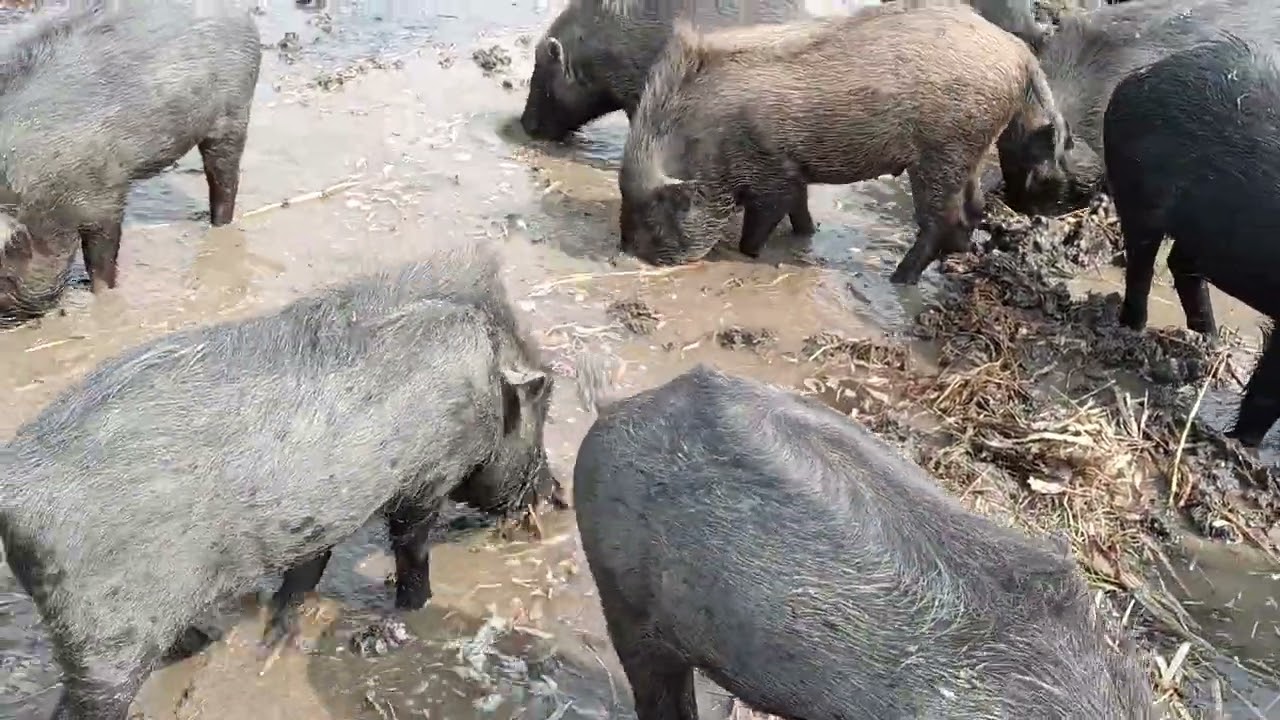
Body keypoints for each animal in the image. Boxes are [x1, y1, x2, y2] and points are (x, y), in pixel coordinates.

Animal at [0, 1, 262, 322]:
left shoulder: (105, 192)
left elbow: (102, 257)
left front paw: (102, 295)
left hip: (233, 114)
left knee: (224, 178)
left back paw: (218, 224)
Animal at [0, 241, 557, 720]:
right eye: (541, 403)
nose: (555, 494)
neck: (484, 377)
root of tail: (14, 486)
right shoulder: (425, 481)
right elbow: (410, 549)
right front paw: (417, 606)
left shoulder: (317, 516)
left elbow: (308, 570)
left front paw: (276, 638)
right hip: (106, 640)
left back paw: (206, 639)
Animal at [618, 5, 1070, 284]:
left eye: (655, 213)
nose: (624, 252)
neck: (705, 141)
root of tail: (1021, 54)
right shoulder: (792, 172)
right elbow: (800, 212)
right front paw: (807, 235)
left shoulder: (771, 174)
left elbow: (762, 224)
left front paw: (749, 254)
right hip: (970, 153)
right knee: (972, 210)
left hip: (941, 155)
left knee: (943, 219)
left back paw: (899, 279)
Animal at [1104, 36, 1280, 445]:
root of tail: (1135, 78)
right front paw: (1241, 444)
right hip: (1137, 198)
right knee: (1142, 267)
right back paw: (1135, 330)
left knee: (1180, 266)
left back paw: (1211, 342)